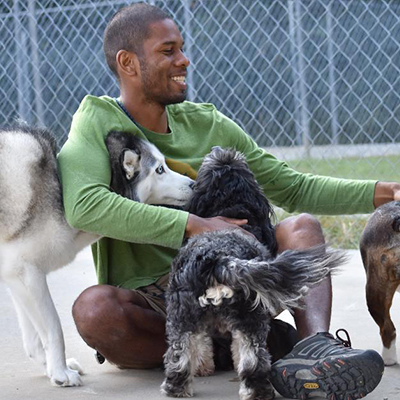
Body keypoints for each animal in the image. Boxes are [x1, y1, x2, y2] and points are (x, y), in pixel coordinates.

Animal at [0, 126, 194, 386]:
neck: (62, 197)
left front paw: (51, 368)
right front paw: (60, 373)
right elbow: (54, 328)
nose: (193, 184)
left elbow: (33, 340)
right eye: (159, 170)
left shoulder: (17, 275)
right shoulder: (25, 272)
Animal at [161, 147, 346, 400]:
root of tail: (216, 259)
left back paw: (176, 388)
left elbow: (203, 344)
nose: (219, 150)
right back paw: (258, 391)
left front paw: (202, 367)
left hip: (182, 316)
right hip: (251, 319)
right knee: (253, 360)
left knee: (179, 356)